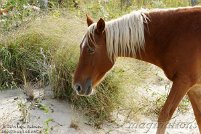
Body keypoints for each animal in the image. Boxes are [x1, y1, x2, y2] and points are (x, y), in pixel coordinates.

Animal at [73, 6, 201, 133]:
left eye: (91, 50)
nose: (77, 86)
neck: (175, 34)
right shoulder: (193, 89)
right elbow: (198, 118)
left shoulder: (182, 82)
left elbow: (164, 116)